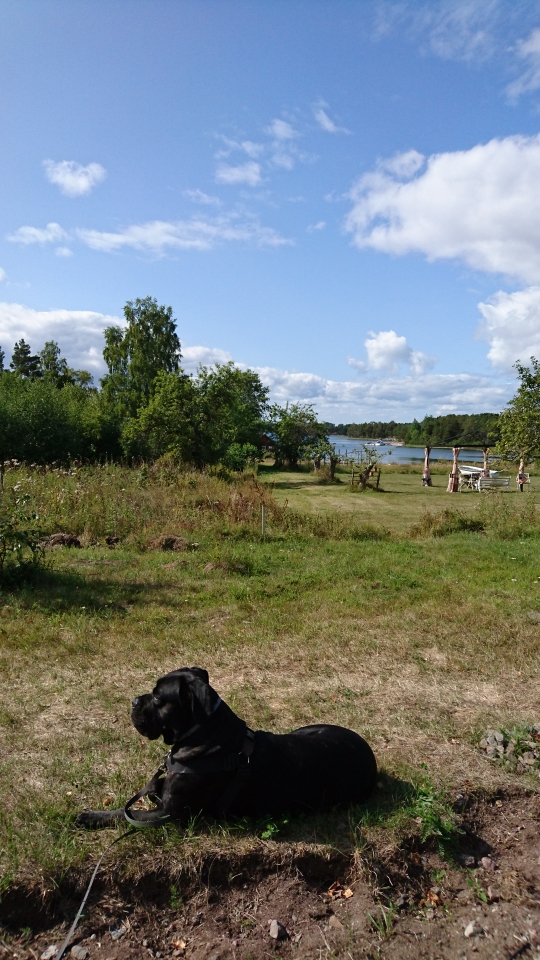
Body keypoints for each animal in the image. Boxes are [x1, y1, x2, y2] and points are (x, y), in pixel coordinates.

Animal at [77, 667, 377, 829]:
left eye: (159, 699)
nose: (134, 701)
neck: (202, 733)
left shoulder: (168, 815)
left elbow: (125, 813)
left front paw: (91, 816)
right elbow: (153, 789)